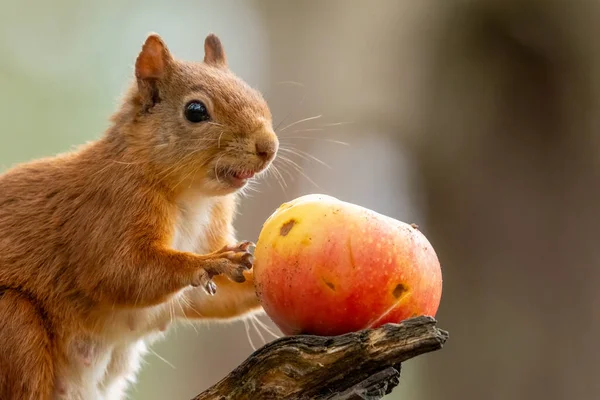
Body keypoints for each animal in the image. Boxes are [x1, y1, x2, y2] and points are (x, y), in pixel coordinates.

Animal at [0, 32, 278, 400]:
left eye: (256, 95)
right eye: (195, 111)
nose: (268, 147)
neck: (193, 196)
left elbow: (214, 299)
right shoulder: (112, 207)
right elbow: (119, 272)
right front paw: (212, 261)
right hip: (14, 324)